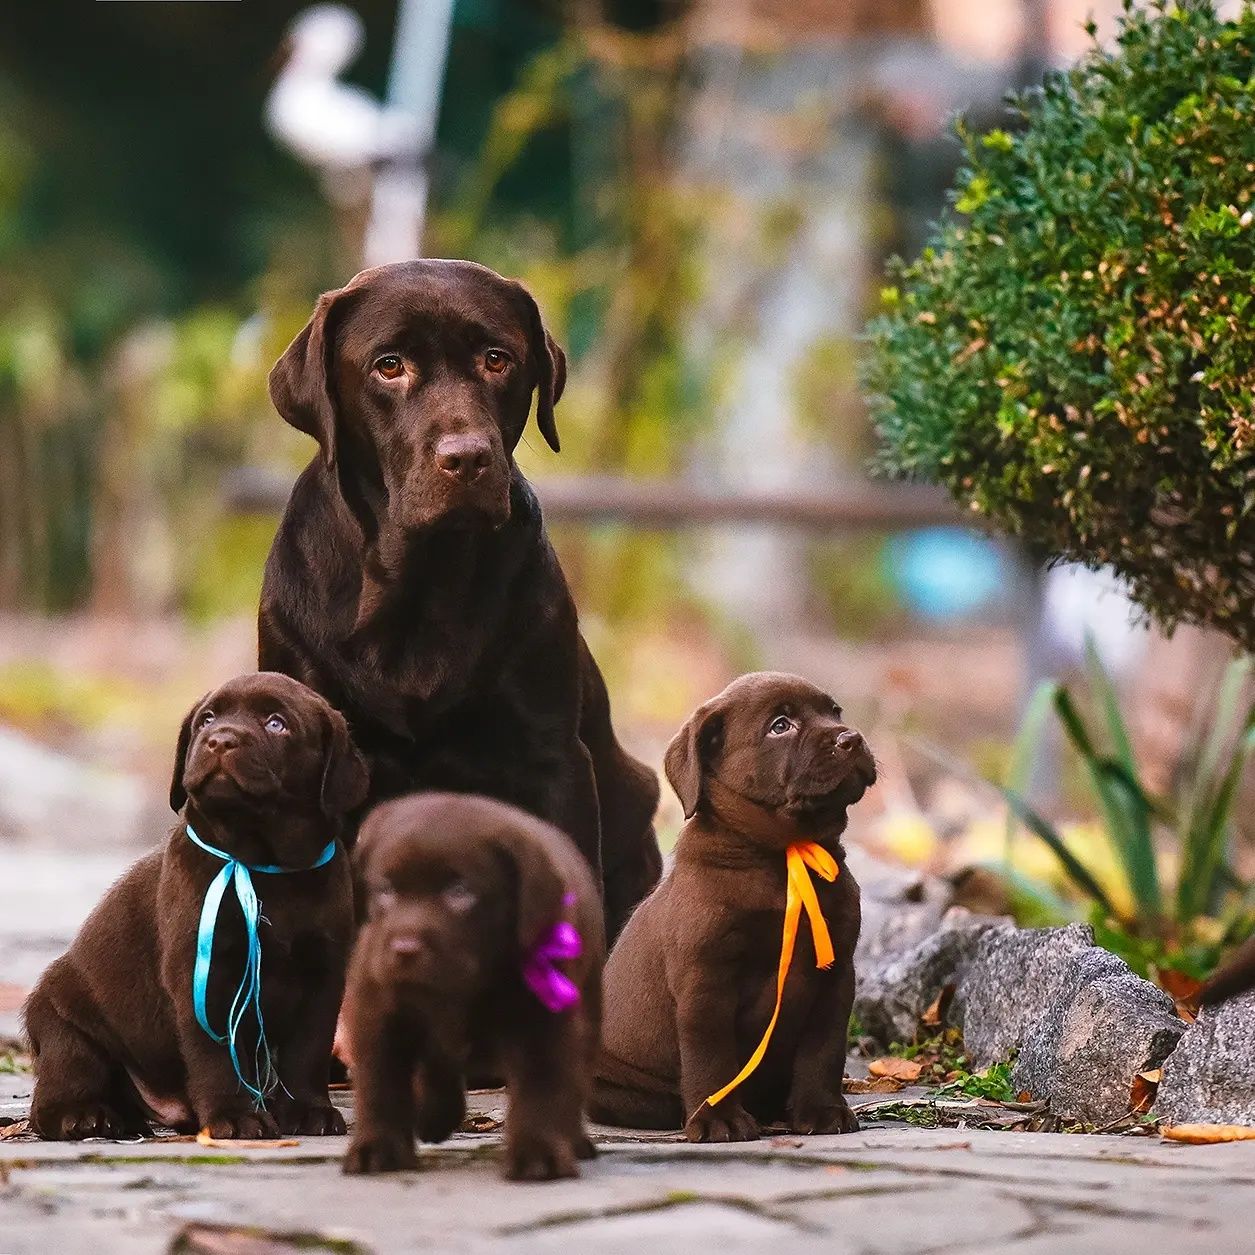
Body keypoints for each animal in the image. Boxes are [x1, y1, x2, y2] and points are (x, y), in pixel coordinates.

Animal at [23, 672, 366, 1144]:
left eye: (277, 723)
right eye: (207, 718)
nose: (219, 740)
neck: (263, 863)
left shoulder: (323, 977)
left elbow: (307, 1052)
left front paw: (309, 1111)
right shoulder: (205, 977)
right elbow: (215, 1057)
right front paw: (234, 1118)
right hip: (65, 1028)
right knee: (58, 1091)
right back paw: (86, 1116)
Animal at [338, 793, 602, 1174]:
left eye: (460, 892)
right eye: (385, 890)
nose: (404, 948)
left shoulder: (542, 1018)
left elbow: (542, 1086)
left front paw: (540, 1154)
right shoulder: (377, 1011)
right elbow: (380, 1085)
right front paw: (377, 1148)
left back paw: (576, 1140)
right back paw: (434, 1117)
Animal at [589, 672, 873, 1144]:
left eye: (835, 713)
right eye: (780, 726)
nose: (851, 738)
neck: (779, 855)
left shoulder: (835, 975)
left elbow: (822, 1052)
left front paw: (822, 1111)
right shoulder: (706, 980)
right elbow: (712, 1058)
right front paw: (718, 1119)